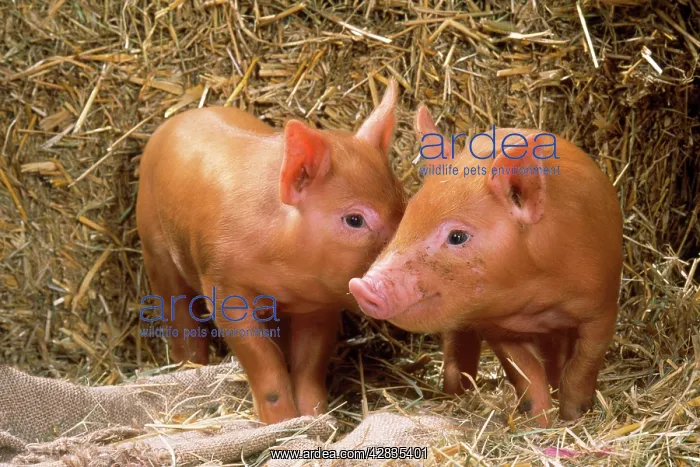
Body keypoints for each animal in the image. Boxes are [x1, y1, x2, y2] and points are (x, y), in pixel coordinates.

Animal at [136, 80, 406, 424]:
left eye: (403, 204)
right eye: (355, 219)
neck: (281, 267)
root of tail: (178, 119)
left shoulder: (318, 306)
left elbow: (309, 365)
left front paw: (317, 418)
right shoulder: (223, 287)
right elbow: (263, 360)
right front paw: (281, 423)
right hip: (154, 246)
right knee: (180, 318)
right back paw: (190, 367)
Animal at [349, 105, 623, 427]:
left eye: (457, 236)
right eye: (407, 216)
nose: (361, 286)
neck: (539, 299)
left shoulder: (602, 308)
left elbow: (582, 367)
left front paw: (574, 418)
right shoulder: (496, 326)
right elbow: (527, 374)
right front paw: (538, 424)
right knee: (457, 346)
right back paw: (454, 393)